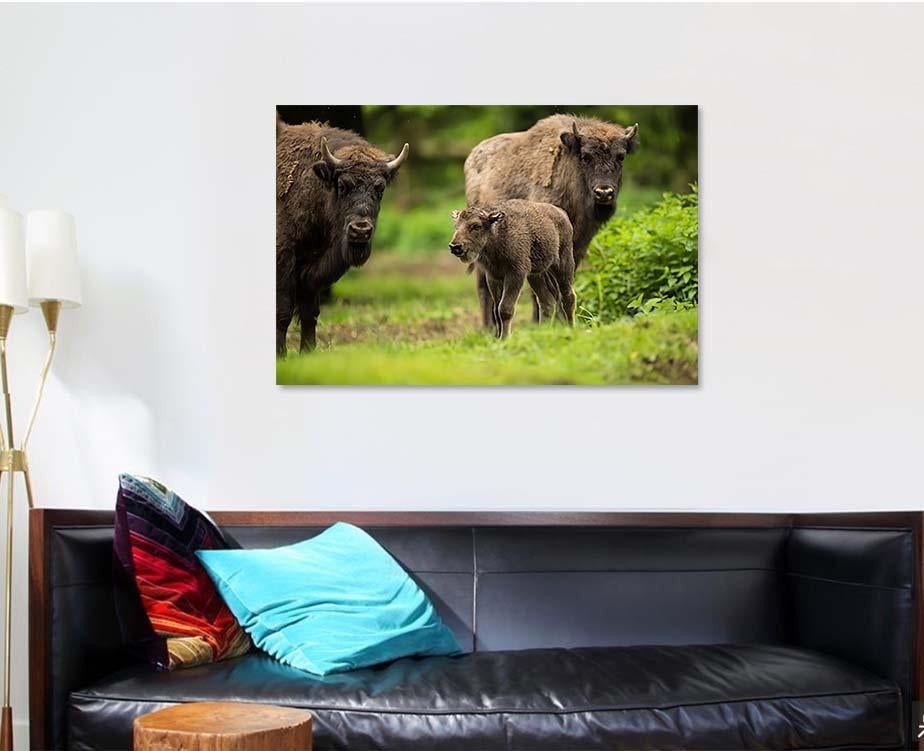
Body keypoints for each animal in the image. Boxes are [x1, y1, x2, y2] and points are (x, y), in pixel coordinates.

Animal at [276, 116, 408, 355]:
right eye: (342, 184)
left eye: (380, 188)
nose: (361, 230)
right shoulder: (284, 259)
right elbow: (283, 312)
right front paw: (281, 355)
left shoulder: (311, 271)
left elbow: (310, 313)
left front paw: (308, 353)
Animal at [464, 114, 638, 328]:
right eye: (585, 156)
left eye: (621, 156)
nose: (603, 192)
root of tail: (473, 156)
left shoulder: (576, 247)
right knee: (483, 285)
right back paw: (488, 328)